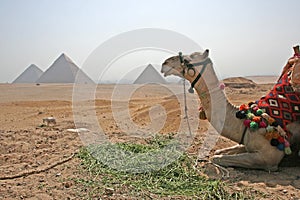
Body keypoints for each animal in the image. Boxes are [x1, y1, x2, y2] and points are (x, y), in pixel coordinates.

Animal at [162, 48, 300, 170]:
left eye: (186, 60)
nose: (165, 63)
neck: (247, 120)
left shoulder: (268, 158)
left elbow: (217, 158)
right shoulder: (247, 144)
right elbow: (220, 151)